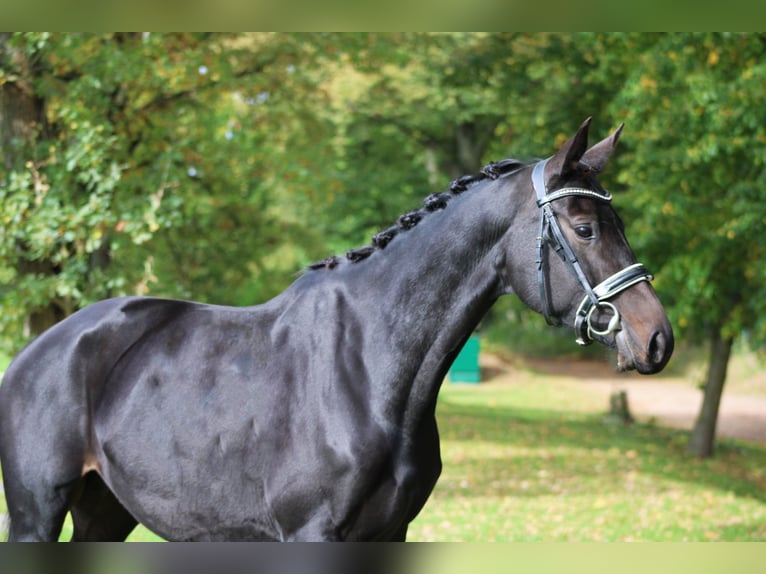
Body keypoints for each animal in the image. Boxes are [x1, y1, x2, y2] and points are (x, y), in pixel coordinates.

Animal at [0, 118, 672, 544]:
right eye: (584, 228)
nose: (657, 338)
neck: (369, 369)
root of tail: (36, 353)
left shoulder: (392, 533)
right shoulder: (312, 534)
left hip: (104, 513)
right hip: (37, 514)